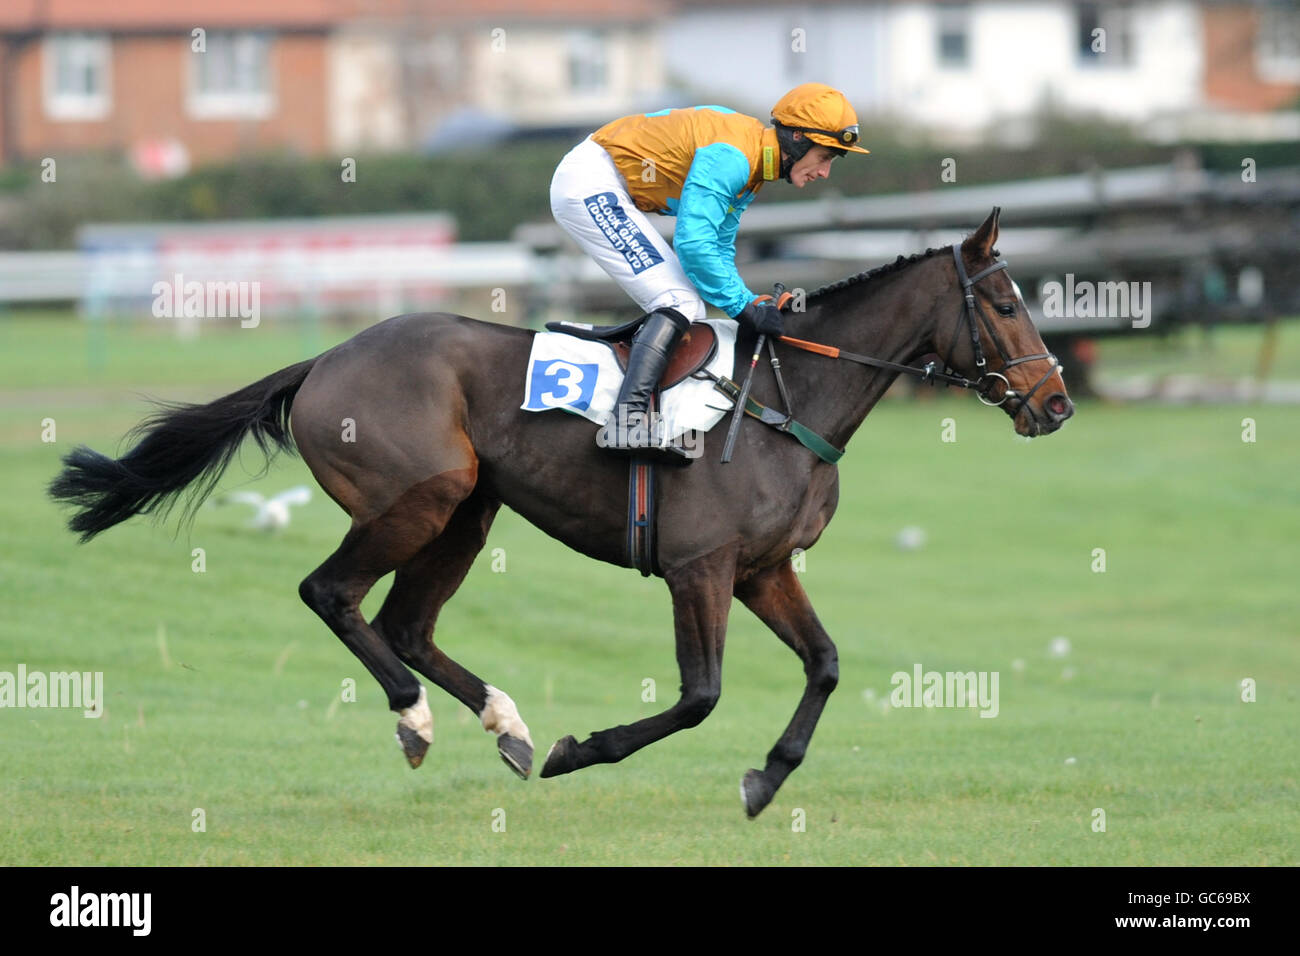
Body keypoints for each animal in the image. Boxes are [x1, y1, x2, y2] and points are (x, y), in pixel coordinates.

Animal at [48, 208, 1066, 816]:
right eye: (1007, 303)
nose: (1054, 404)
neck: (786, 397)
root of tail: (326, 358)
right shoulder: (699, 568)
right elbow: (698, 696)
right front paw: (586, 750)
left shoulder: (764, 568)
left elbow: (824, 664)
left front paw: (766, 778)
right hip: (419, 498)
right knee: (330, 594)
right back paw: (418, 722)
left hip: (469, 510)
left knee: (406, 623)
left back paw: (506, 725)